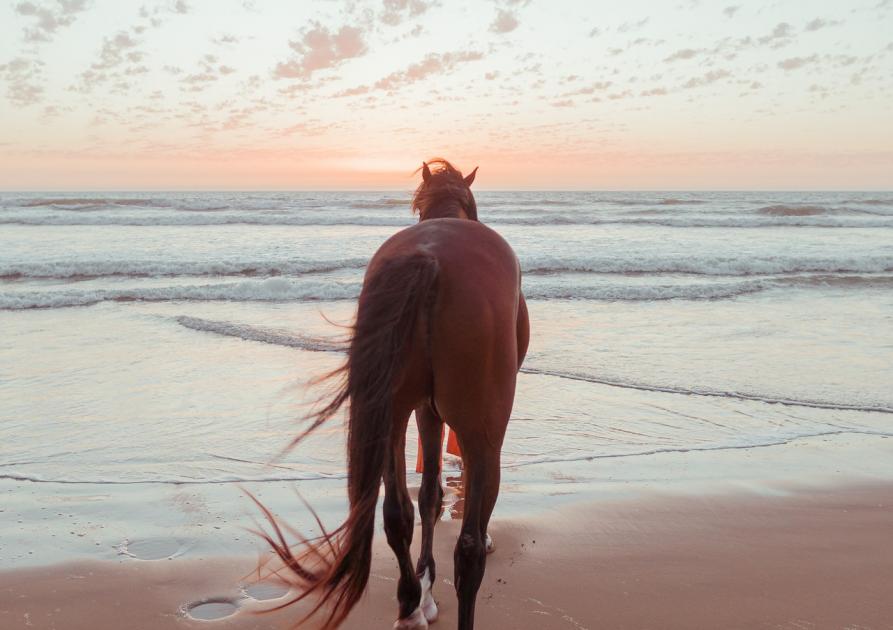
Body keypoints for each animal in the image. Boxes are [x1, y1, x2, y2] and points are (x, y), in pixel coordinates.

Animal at [254, 159, 528, 630]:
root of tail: (430, 258)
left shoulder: (423, 410)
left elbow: (428, 496)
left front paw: (425, 592)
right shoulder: (447, 418)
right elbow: (445, 498)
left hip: (391, 413)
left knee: (397, 513)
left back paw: (409, 607)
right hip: (480, 428)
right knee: (468, 548)